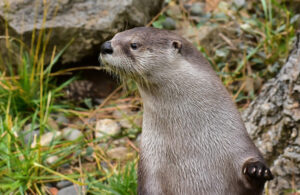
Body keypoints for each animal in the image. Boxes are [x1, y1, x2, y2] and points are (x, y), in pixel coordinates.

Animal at [99, 27, 274, 195]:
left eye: (134, 44)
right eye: (115, 35)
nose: (105, 46)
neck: (190, 149)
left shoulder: (238, 145)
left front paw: (257, 169)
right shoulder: (150, 168)